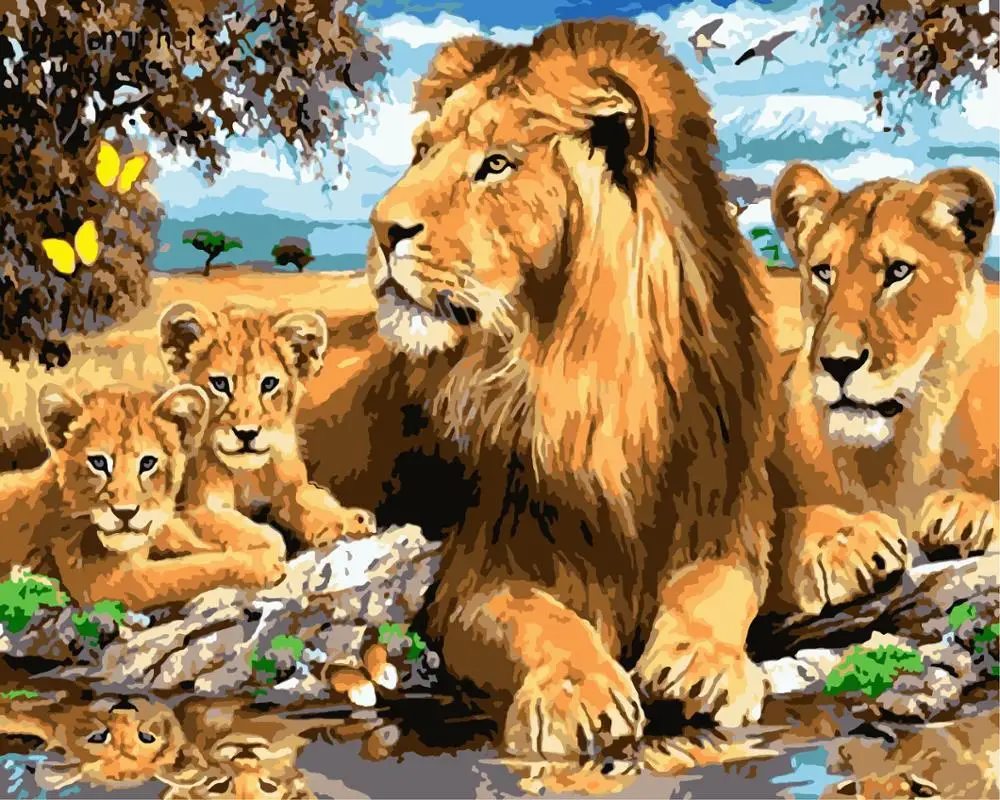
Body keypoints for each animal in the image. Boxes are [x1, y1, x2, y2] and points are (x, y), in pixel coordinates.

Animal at [0, 384, 283, 609]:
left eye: (147, 463)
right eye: (98, 463)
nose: (124, 513)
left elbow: (187, 528)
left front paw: (262, 539)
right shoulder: (105, 586)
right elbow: (191, 571)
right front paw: (260, 564)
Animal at [158, 303, 378, 558]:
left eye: (269, 384)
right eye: (220, 384)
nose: (246, 433)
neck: (248, 475)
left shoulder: (292, 486)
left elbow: (311, 498)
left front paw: (349, 520)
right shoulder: (200, 507)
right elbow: (229, 526)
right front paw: (267, 541)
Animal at [297, 19, 781, 757]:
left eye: (497, 164)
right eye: (422, 153)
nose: (381, 228)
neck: (591, 385)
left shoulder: (724, 515)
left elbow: (719, 585)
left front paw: (703, 662)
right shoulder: (476, 567)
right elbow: (535, 616)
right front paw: (579, 692)